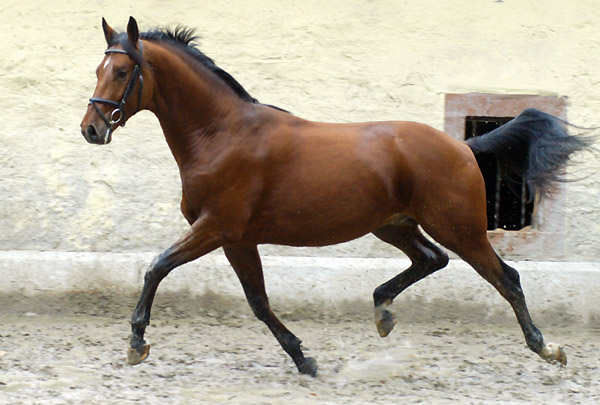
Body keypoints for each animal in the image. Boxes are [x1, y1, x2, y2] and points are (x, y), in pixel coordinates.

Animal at [79, 16, 592, 376]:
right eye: (98, 68)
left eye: (121, 70)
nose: (91, 129)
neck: (221, 134)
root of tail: (463, 146)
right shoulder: (237, 239)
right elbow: (258, 301)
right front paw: (304, 359)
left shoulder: (217, 227)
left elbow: (157, 267)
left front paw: (136, 344)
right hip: (393, 225)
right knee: (432, 259)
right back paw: (383, 311)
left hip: (459, 226)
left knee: (505, 277)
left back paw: (547, 348)